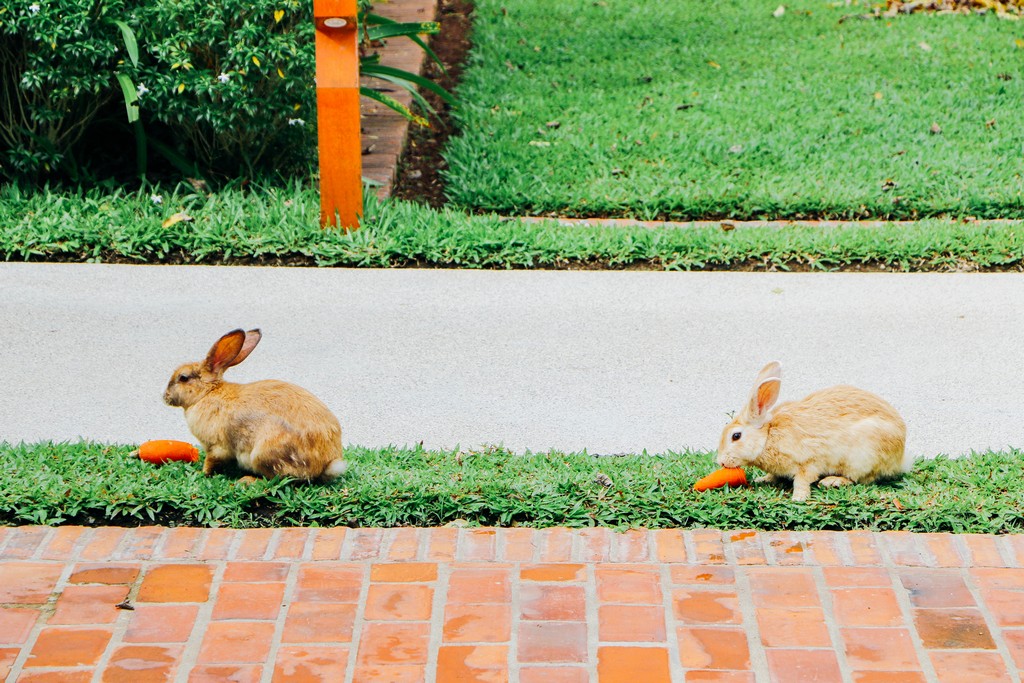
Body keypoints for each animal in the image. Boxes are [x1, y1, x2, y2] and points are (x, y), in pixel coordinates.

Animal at [163, 329, 346, 481]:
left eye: (183, 378)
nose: (165, 397)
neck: (207, 393)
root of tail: (326, 463)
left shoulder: (216, 447)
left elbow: (211, 462)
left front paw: (202, 473)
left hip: (263, 455)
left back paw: (247, 480)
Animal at [716, 362, 909, 501]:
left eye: (736, 436)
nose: (721, 461)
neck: (767, 436)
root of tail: (901, 458)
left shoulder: (809, 461)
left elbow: (802, 479)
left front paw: (798, 498)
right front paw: (763, 479)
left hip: (862, 457)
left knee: (861, 479)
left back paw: (833, 481)